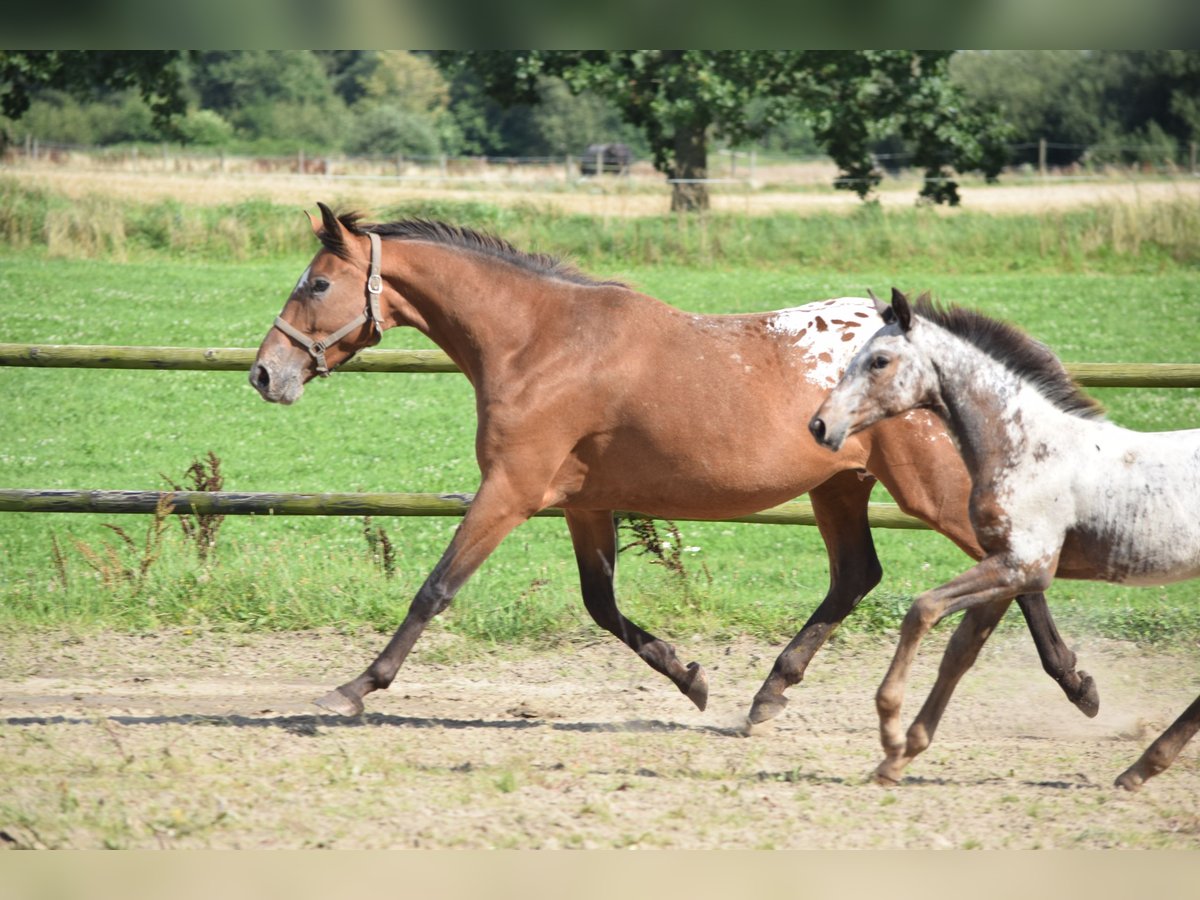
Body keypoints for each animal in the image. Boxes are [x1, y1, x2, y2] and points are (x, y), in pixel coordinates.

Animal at [249, 203, 1098, 730]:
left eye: (316, 282)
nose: (264, 374)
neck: (539, 341)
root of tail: (932, 345)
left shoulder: (511, 490)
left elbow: (435, 589)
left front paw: (355, 687)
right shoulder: (583, 503)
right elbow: (602, 606)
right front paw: (692, 679)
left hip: (925, 489)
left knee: (1013, 562)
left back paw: (1079, 684)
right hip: (839, 487)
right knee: (858, 576)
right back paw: (768, 694)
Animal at [810, 288, 1199, 790]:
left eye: (879, 360)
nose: (819, 425)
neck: (1029, 449)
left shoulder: (1025, 565)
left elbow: (923, 610)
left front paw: (890, 730)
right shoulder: (1005, 567)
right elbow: (960, 652)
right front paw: (900, 757)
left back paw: (1143, 766)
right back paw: (1142, 767)